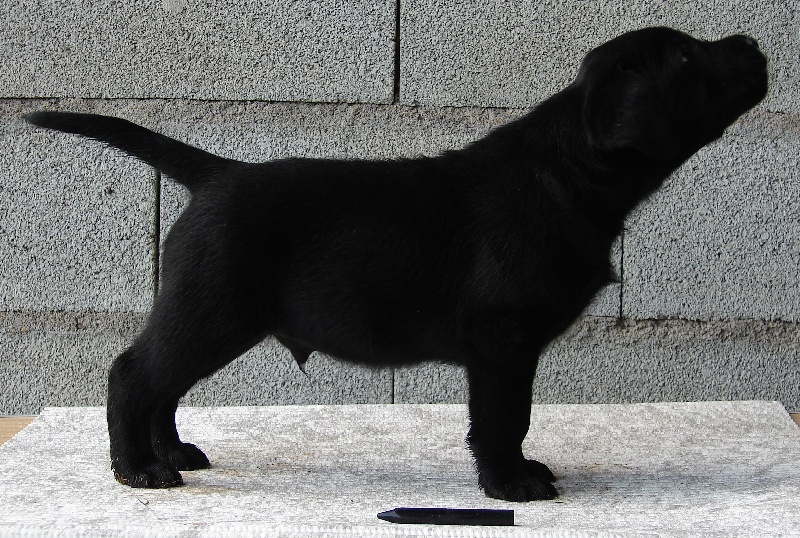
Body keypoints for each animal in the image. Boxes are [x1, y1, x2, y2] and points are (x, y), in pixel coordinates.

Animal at [25, 27, 767, 501]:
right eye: (685, 56)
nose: (754, 44)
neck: (567, 171)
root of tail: (215, 174)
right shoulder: (503, 341)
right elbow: (504, 417)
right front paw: (511, 484)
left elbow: (513, 418)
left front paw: (518, 472)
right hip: (211, 310)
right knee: (134, 375)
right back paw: (138, 470)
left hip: (208, 317)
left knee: (164, 385)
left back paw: (172, 453)